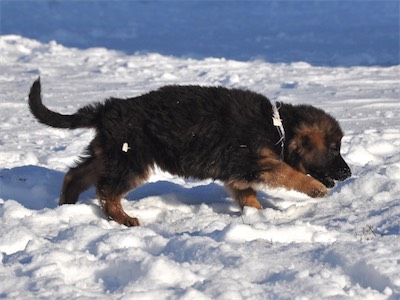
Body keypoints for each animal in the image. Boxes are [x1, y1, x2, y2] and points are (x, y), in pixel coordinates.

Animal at [28, 78, 350, 226]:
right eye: (334, 149)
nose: (348, 173)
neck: (277, 127)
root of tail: (109, 108)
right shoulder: (255, 160)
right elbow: (288, 171)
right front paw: (314, 188)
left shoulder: (239, 172)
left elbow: (248, 195)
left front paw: (256, 216)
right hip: (130, 159)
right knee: (106, 191)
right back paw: (123, 218)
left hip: (111, 154)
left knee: (76, 175)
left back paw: (66, 206)